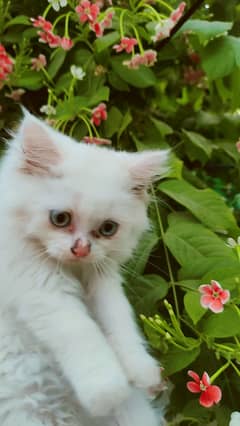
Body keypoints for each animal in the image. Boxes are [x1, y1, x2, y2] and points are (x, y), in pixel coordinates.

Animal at [0, 111, 167, 424]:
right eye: (60, 219)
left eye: (108, 228)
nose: (81, 250)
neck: (73, 271)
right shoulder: (39, 287)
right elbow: (80, 331)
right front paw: (106, 390)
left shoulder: (103, 279)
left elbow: (119, 320)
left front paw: (140, 370)